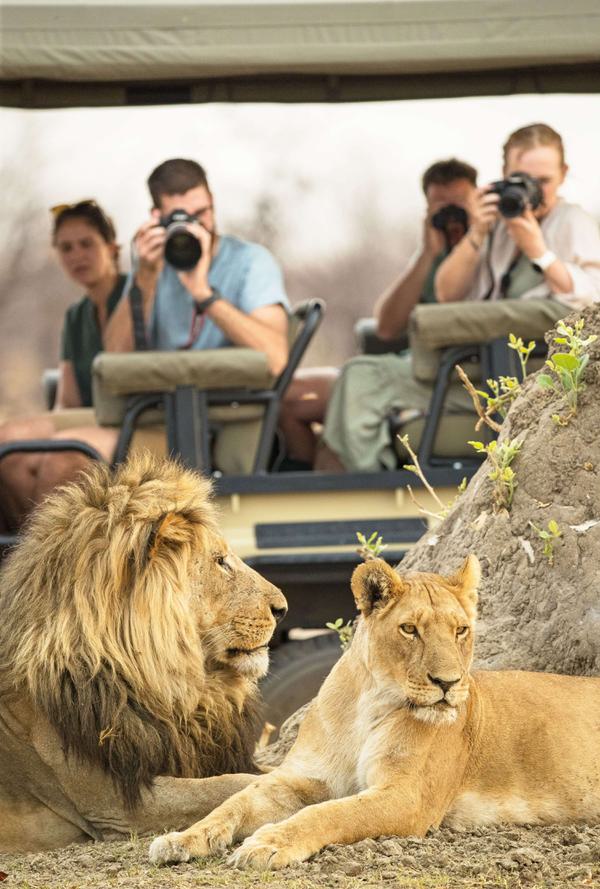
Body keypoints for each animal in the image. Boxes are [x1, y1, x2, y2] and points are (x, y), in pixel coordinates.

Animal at [150, 554, 600, 870]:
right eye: (410, 629)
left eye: (461, 630)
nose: (448, 683)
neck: (369, 704)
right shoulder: (301, 778)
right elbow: (234, 802)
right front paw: (180, 839)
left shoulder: (407, 796)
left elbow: (329, 813)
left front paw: (269, 843)